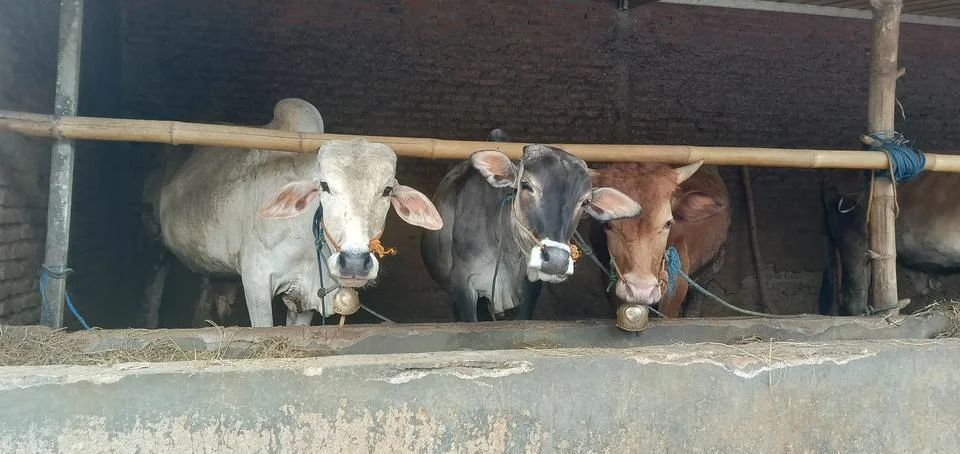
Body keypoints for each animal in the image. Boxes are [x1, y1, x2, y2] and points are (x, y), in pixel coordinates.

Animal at [142, 98, 442, 328]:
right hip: (154, 244)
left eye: (387, 190)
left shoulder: (304, 299)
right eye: (324, 185)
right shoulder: (256, 281)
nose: (355, 262)